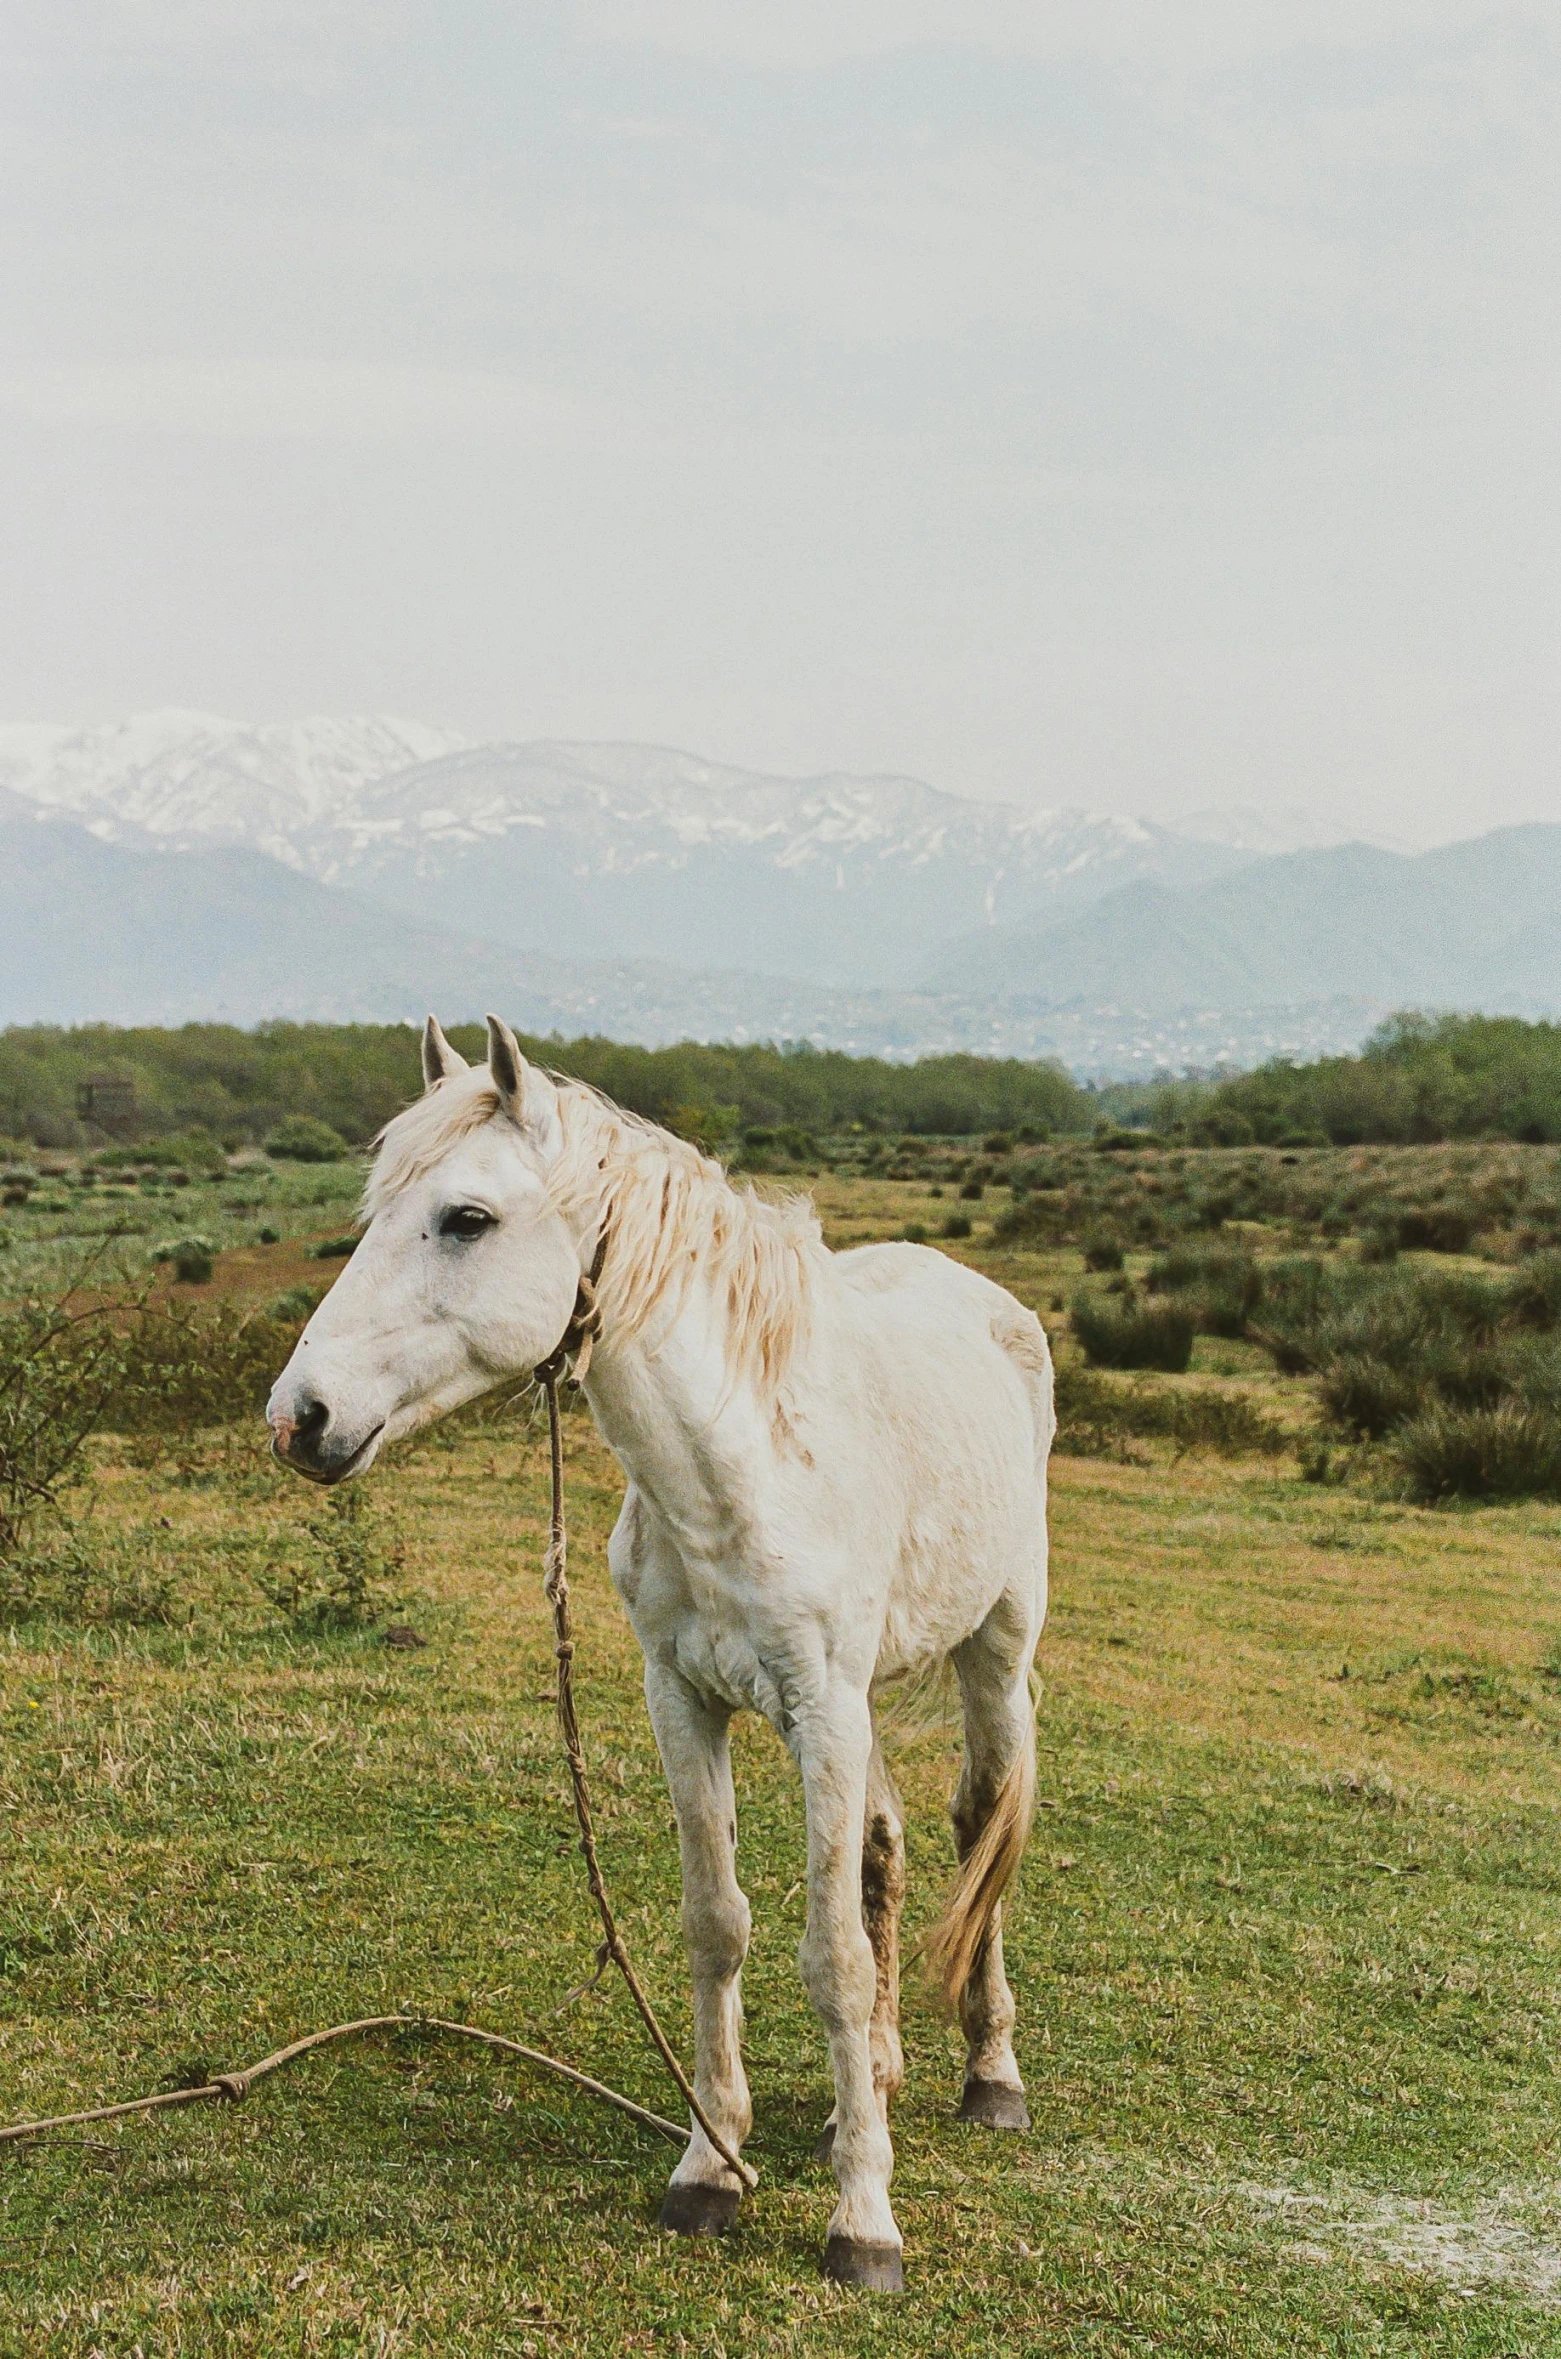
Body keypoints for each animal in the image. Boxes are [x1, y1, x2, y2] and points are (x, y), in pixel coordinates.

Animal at [268, 1009, 1056, 2283]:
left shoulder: (820, 1707)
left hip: (994, 1654)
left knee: (980, 1829)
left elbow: (829, 1957)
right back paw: (871, 2086)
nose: (301, 1418)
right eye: (374, 1209)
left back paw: (988, 2077)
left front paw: (863, 2220)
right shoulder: (685, 1702)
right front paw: (711, 2164)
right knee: (882, 1853)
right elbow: (717, 1924)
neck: (740, 1467)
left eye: (466, 1217)